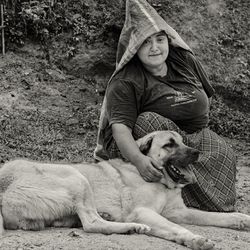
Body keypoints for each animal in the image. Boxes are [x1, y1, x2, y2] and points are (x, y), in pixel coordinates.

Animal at [0, 131, 250, 250]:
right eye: (169, 145)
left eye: (183, 141)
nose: (197, 153)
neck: (160, 181)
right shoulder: (144, 212)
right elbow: (175, 227)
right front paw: (195, 239)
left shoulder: (179, 211)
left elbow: (216, 216)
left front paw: (242, 219)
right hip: (77, 177)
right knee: (91, 223)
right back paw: (131, 227)